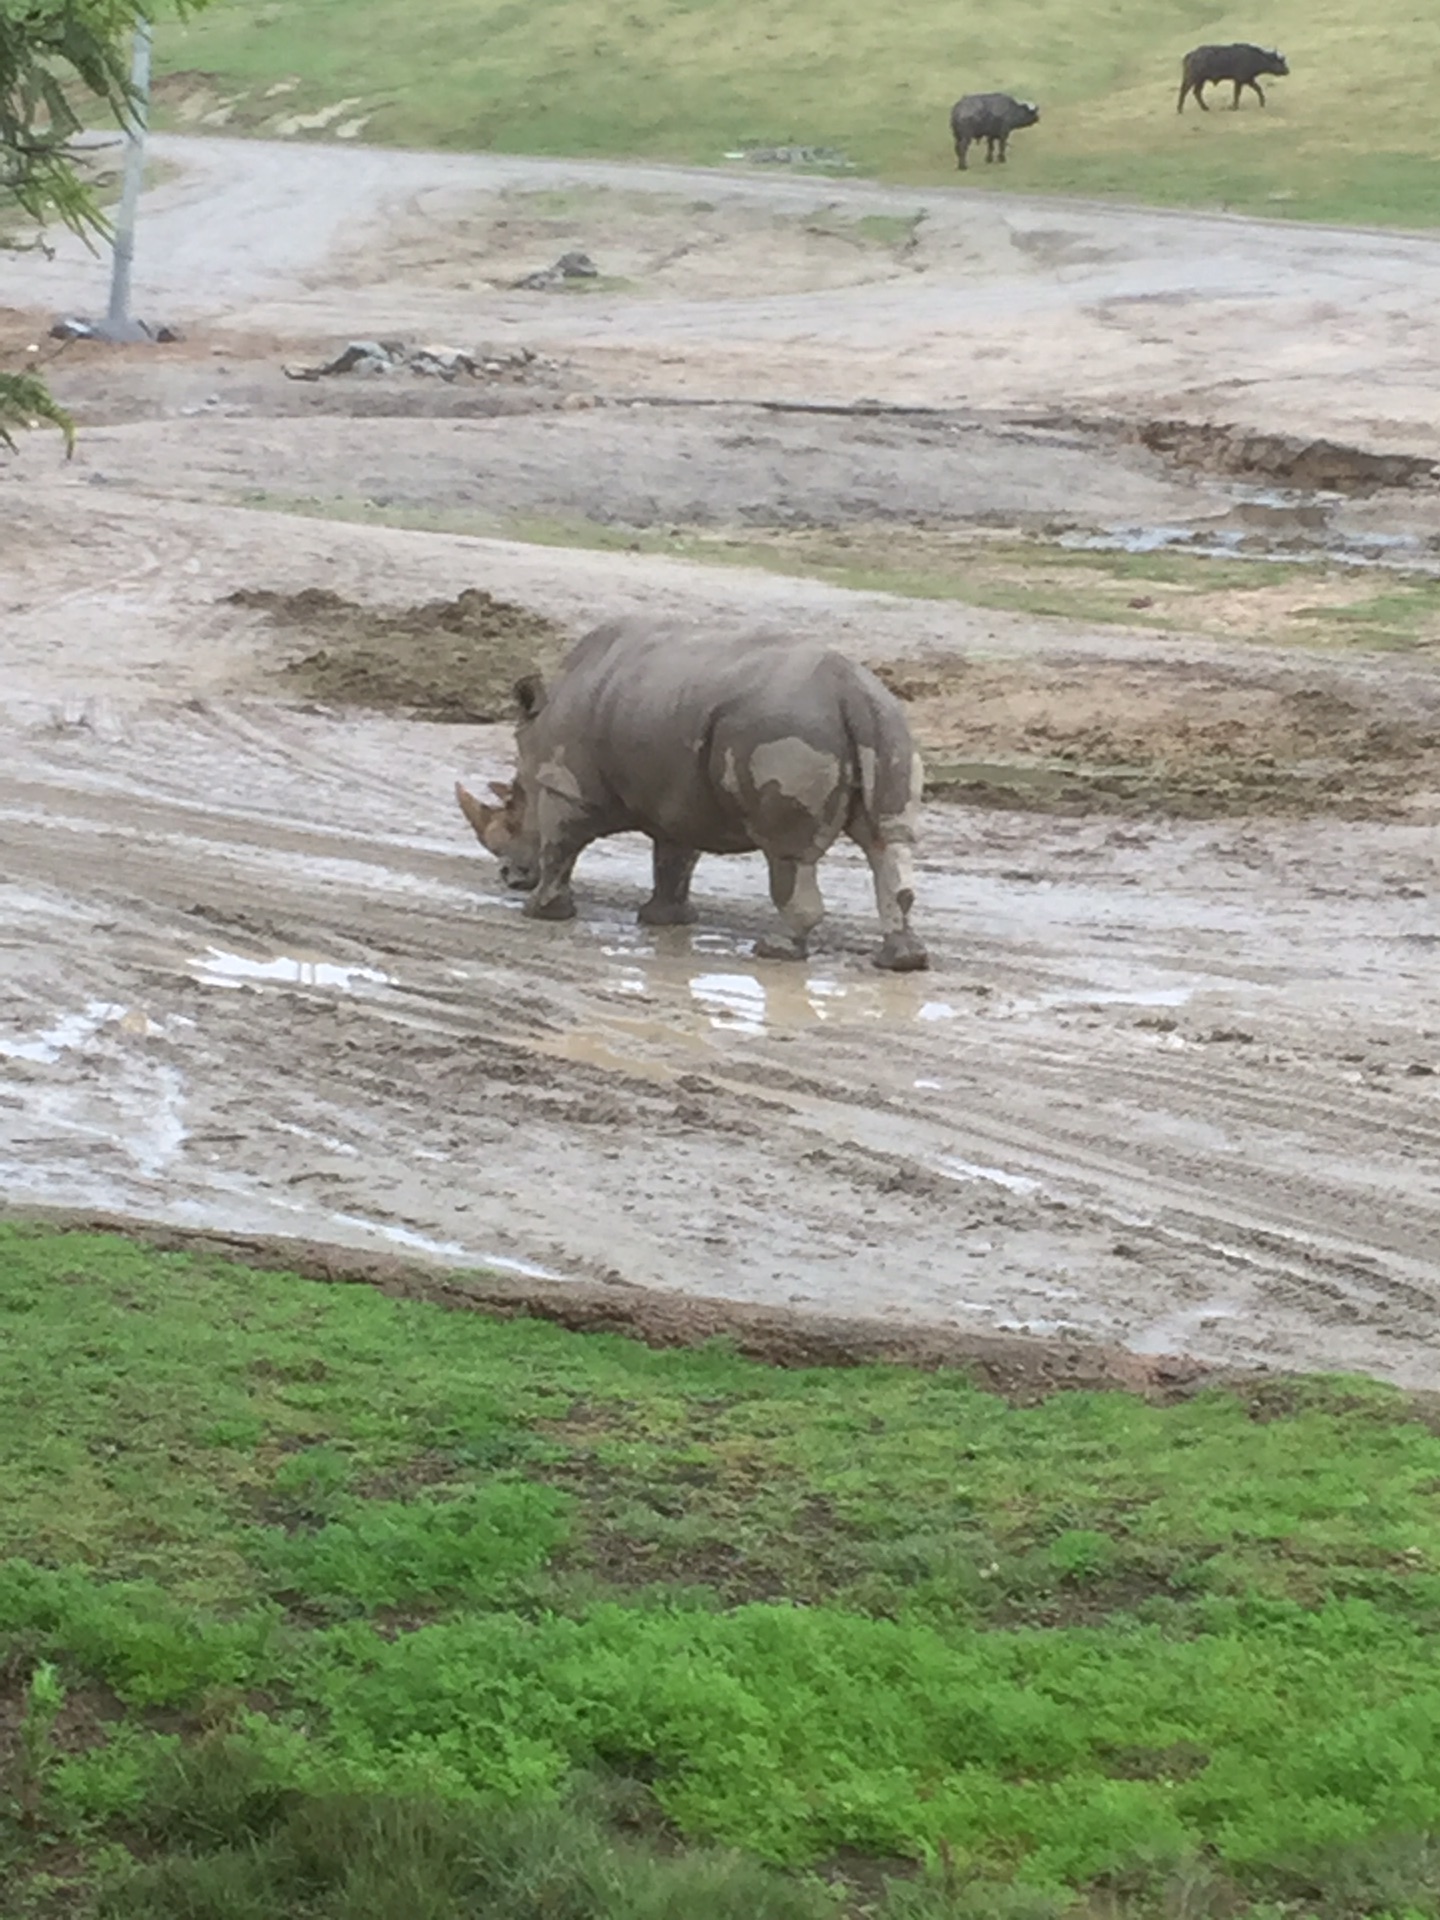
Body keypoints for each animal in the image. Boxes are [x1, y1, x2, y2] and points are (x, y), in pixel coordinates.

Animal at [456, 614, 929, 967]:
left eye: (513, 809)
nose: (509, 877)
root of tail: (851, 692)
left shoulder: (566, 788)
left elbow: (559, 847)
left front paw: (541, 913)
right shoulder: (679, 797)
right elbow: (674, 858)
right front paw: (664, 921)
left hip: (787, 732)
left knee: (788, 854)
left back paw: (773, 951)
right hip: (886, 724)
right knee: (888, 841)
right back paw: (902, 962)